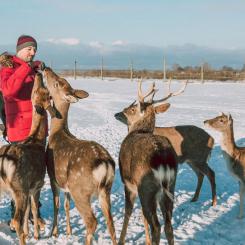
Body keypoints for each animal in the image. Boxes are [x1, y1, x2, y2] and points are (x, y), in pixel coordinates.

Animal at [0, 73, 56, 245]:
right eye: (48, 94)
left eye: (35, 92)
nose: (37, 73)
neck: (37, 140)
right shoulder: (37, 185)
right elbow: (34, 209)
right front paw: (36, 235)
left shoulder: (31, 187)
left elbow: (27, 213)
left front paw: (27, 233)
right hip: (20, 187)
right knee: (16, 219)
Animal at [42, 67, 117, 245]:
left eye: (57, 83)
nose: (46, 68)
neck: (57, 133)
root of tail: (105, 164)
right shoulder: (66, 184)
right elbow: (66, 205)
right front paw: (69, 231)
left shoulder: (53, 177)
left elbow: (56, 205)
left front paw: (54, 232)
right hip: (106, 190)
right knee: (111, 223)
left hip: (81, 190)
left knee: (92, 221)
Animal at [114, 80, 179, 245]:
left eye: (131, 109)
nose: (117, 114)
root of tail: (162, 159)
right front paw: (146, 240)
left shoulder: (128, 183)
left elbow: (128, 211)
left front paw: (121, 240)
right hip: (171, 185)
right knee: (168, 225)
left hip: (147, 187)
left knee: (156, 226)